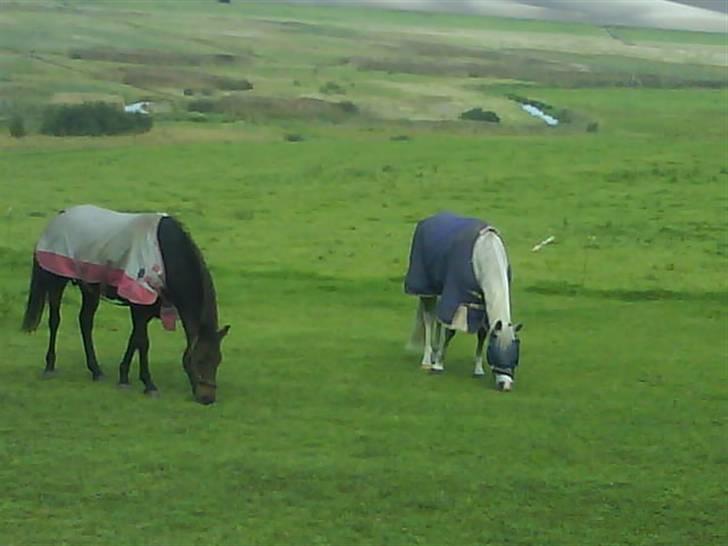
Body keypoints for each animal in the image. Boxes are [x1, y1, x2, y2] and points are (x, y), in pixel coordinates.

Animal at [20, 204, 230, 404]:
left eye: (218, 360)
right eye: (200, 360)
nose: (207, 398)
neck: (165, 251)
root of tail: (60, 216)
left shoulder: (147, 307)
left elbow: (134, 340)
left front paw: (124, 377)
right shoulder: (139, 301)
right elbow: (143, 342)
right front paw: (148, 385)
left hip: (90, 287)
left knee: (85, 321)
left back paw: (96, 370)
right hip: (56, 279)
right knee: (55, 320)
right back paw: (50, 366)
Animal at [406, 211, 520, 386]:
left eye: (515, 356)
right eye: (496, 351)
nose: (505, 385)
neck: (485, 253)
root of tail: (428, 220)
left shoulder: (481, 305)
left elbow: (482, 334)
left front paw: (478, 370)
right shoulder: (458, 298)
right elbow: (450, 331)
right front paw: (438, 366)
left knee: (438, 320)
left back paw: (435, 354)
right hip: (427, 290)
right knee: (429, 320)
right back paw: (427, 360)